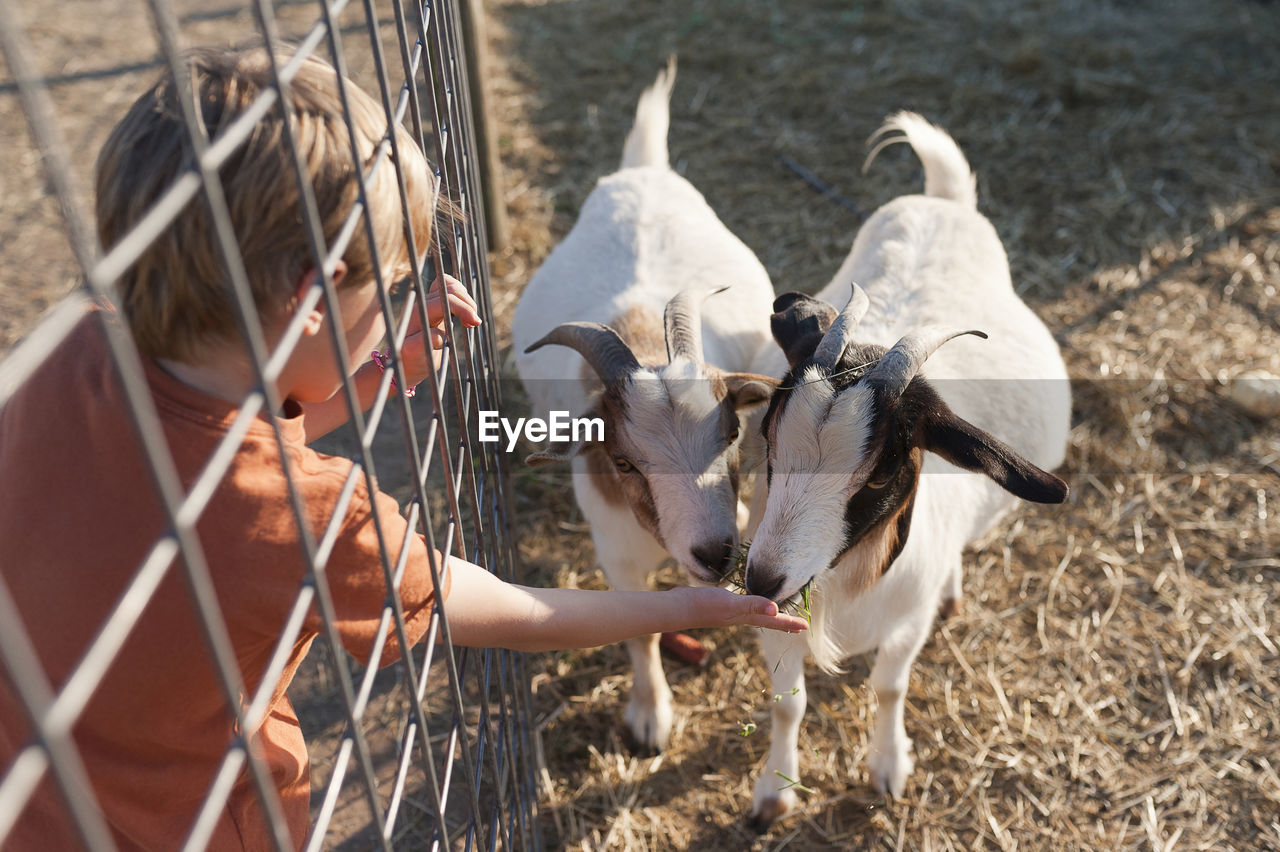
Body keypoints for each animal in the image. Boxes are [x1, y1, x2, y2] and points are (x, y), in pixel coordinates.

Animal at [512, 61, 773, 752]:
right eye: (624, 462)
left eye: (731, 435)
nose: (716, 553)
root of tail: (644, 169)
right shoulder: (618, 554)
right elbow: (641, 628)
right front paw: (650, 717)